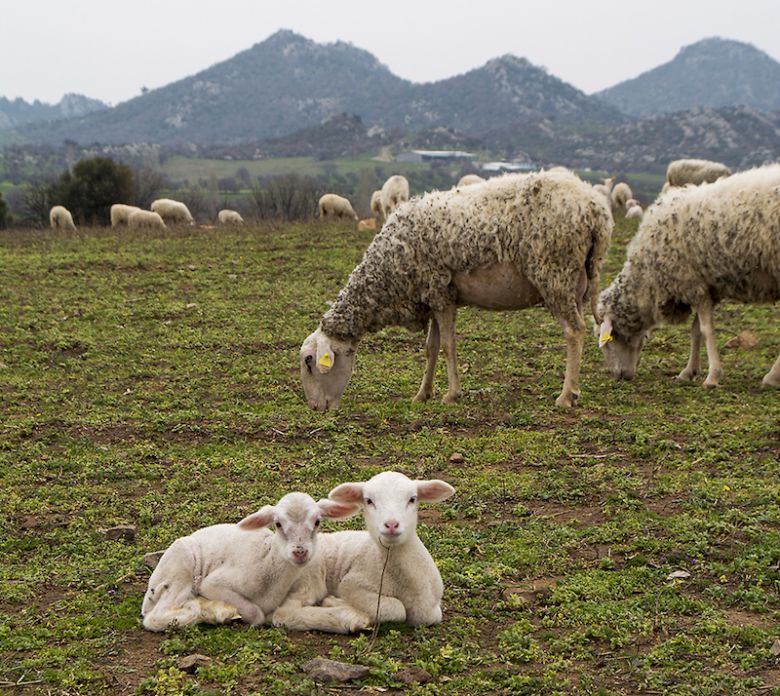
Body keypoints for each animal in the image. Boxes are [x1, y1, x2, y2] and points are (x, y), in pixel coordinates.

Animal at [141, 492, 356, 632]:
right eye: (278, 524)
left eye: (317, 522)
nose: (300, 552)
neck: (268, 563)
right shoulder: (213, 584)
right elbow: (256, 614)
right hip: (180, 569)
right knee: (155, 617)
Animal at [274, 470, 458, 632]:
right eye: (369, 501)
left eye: (412, 499)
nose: (391, 524)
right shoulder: (351, 584)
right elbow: (396, 608)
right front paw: (335, 602)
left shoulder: (430, 607)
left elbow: (427, 616)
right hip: (308, 577)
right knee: (282, 614)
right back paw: (349, 618)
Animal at [302, 169, 612, 408]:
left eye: (308, 361)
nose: (315, 407)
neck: (386, 274)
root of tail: (596, 208)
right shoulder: (435, 295)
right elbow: (431, 347)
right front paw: (422, 394)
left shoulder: (440, 294)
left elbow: (448, 346)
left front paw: (452, 394)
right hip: (577, 281)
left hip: (555, 274)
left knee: (574, 331)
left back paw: (567, 395)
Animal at [596, 165, 780, 388]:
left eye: (607, 341)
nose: (619, 375)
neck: (648, 278)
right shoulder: (706, 288)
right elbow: (695, 331)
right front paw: (689, 371)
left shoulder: (693, 285)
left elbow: (706, 330)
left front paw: (712, 376)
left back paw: (772, 377)